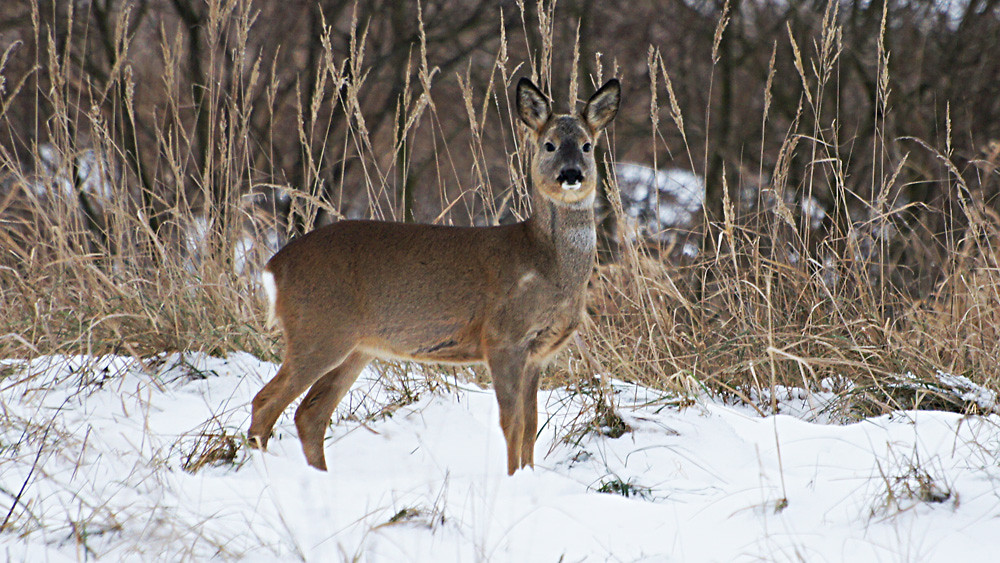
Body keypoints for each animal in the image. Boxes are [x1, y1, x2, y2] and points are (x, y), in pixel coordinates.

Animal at [250, 77, 616, 476]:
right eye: (549, 144)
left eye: (587, 145)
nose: (571, 174)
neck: (545, 263)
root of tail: (274, 267)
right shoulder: (503, 337)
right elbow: (512, 422)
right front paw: (511, 478)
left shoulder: (539, 353)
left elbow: (532, 425)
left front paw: (527, 476)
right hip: (317, 330)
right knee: (265, 401)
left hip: (355, 347)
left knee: (310, 414)